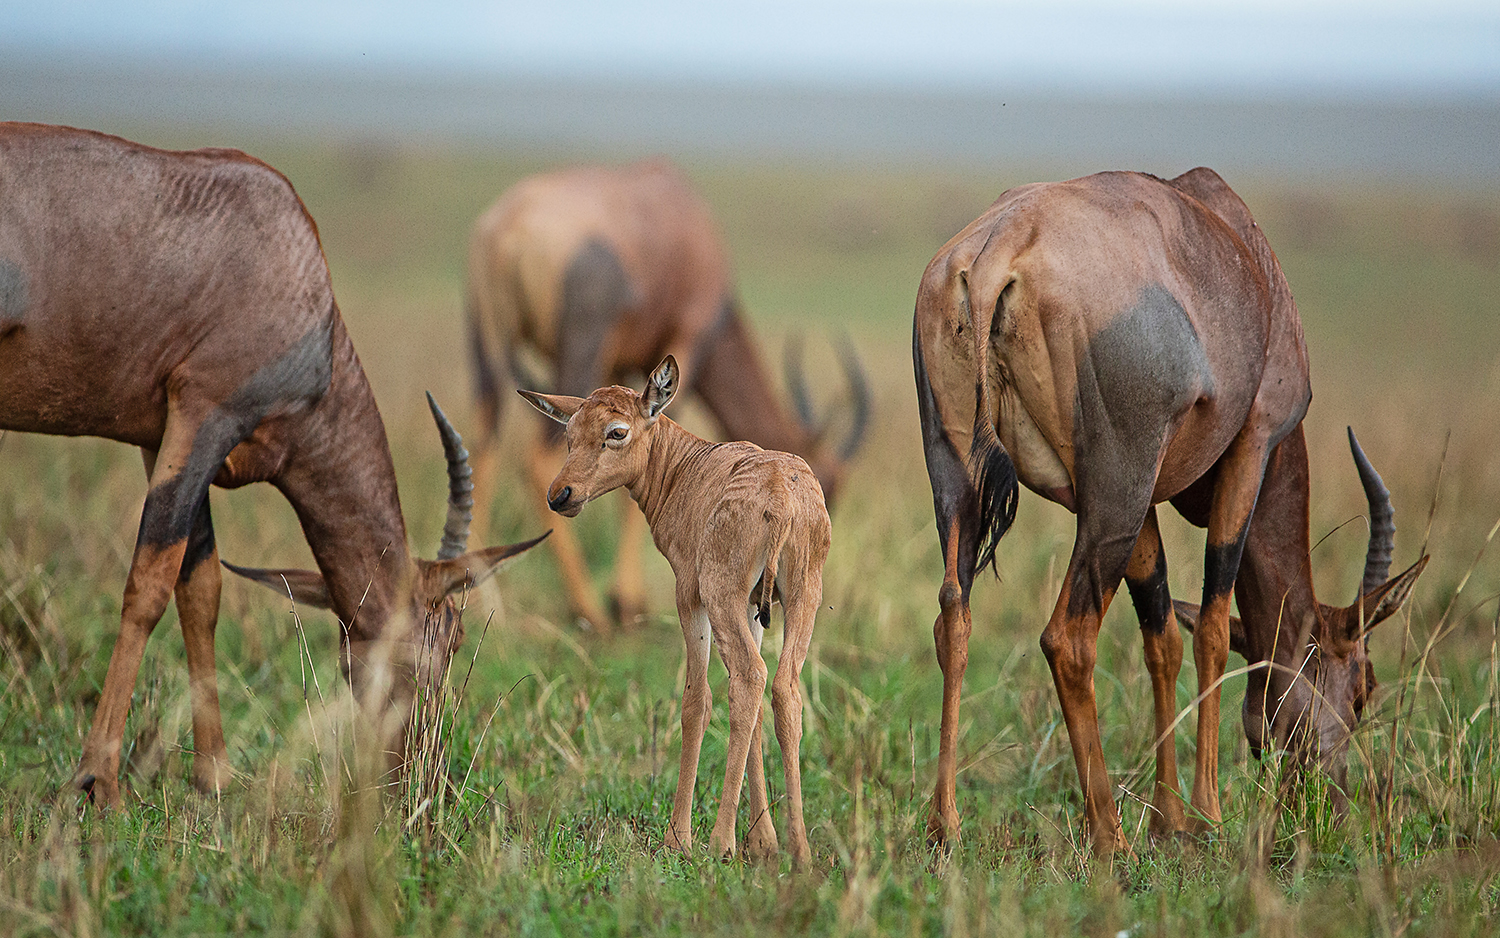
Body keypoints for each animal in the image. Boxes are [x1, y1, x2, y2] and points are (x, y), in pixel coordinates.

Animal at [0, 120, 552, 798]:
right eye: (447, 637)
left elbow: (200, 588)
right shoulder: (206, 415)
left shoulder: (163, 437)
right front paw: (96, 779)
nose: (420, 779)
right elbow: (149, 584)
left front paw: (214, 778)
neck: (290, 257)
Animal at [465, 159, 870, 630]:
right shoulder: (686, 342)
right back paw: (587, 610)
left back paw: (478, 600)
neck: (685, 221)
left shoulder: (621, 367)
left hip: (485, 347)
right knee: (536, 459)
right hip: (580, 350)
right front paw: (625, 603)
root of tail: (510, 229)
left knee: (481, 443)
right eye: (828, 490)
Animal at [912, 166, 1428, 858]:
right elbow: (1211, 626)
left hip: (963, 474)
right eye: (1364, 689)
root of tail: (999, 250)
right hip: (1116, 491)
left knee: (953, 617)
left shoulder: (1142, 501)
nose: (1335, 809)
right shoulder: (1251, 445)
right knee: (1068, 638)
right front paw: (1206, 816)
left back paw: (945, 827)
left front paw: (1171, 818)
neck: (1246, 256)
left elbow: (1162, 636)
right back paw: (1109, 836)